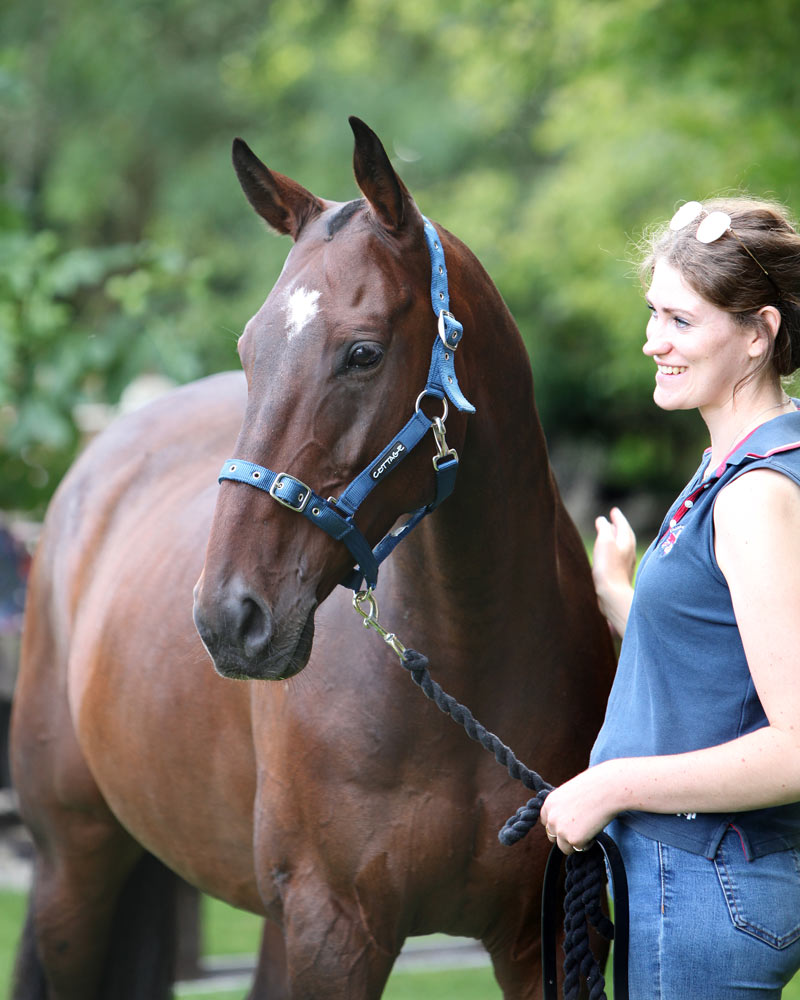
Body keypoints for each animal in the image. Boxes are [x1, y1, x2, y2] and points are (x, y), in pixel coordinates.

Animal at [10, 117, 616, 999]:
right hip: (73, 873)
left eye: (362, 353)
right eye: (248, 349)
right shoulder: (335, 931)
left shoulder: (545, 943)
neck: (469, 667)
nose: (228, 617)